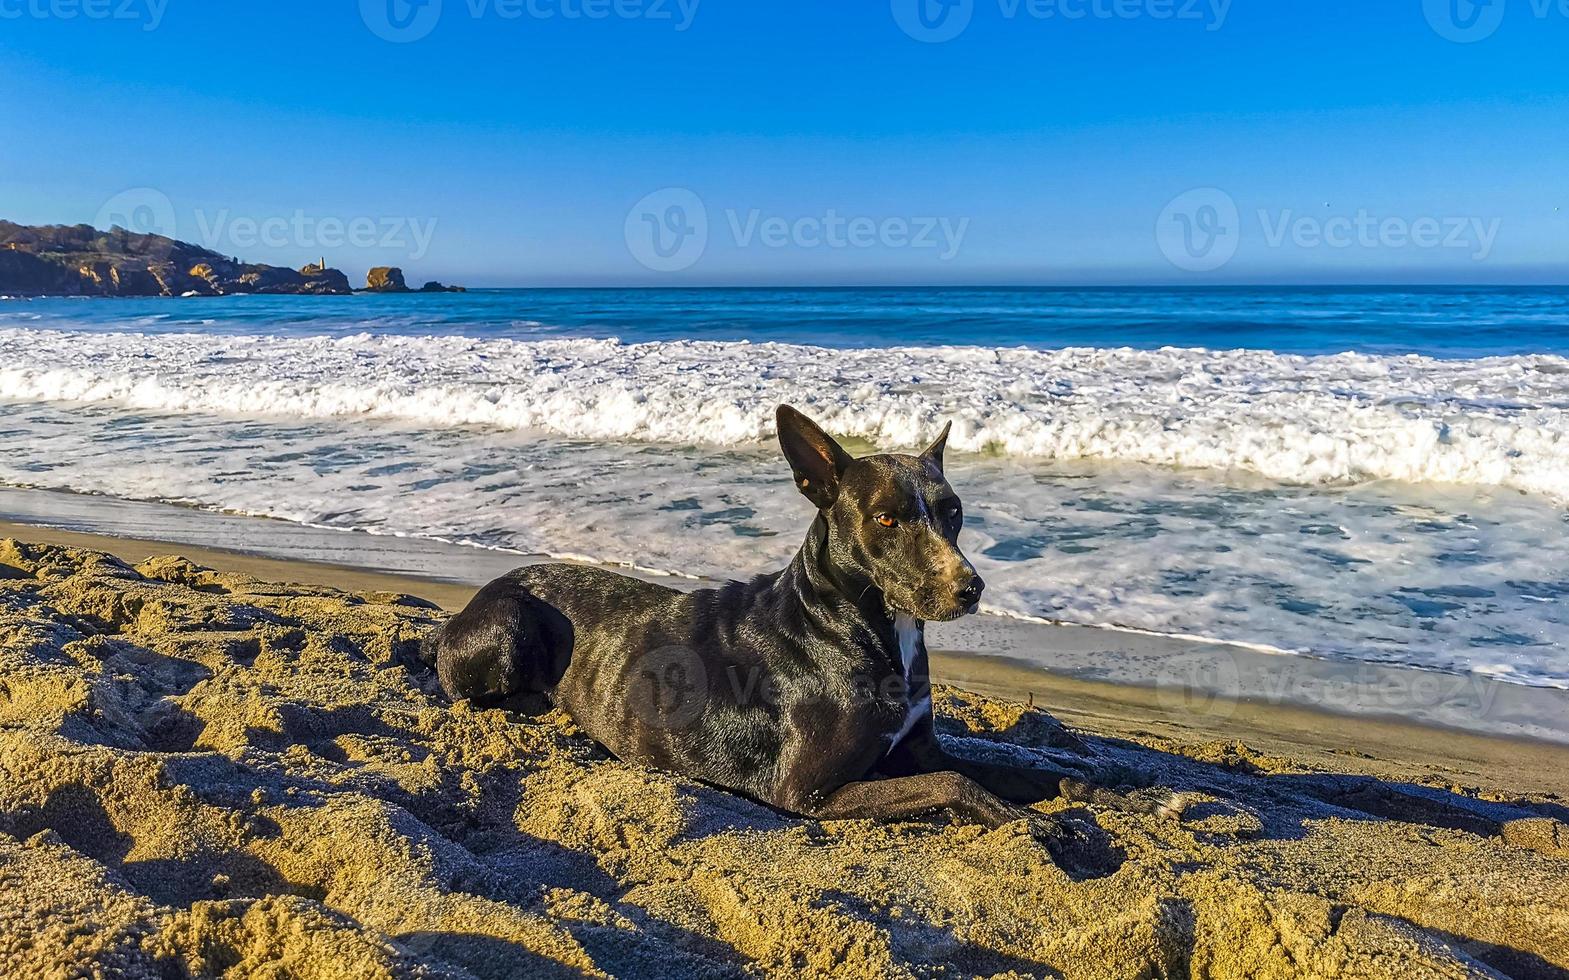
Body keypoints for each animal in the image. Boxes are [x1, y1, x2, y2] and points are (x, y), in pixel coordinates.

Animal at [429, 401, 1179, 846]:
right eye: (887, 519)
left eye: (953, 511)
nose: (970, 589)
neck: (861, 627)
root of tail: (474, 600)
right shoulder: (808, 792)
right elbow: (959, 785)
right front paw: (1041, 831)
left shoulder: (921, 750)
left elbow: (1028, 771)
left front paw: (1130, 799)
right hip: (510, 624)